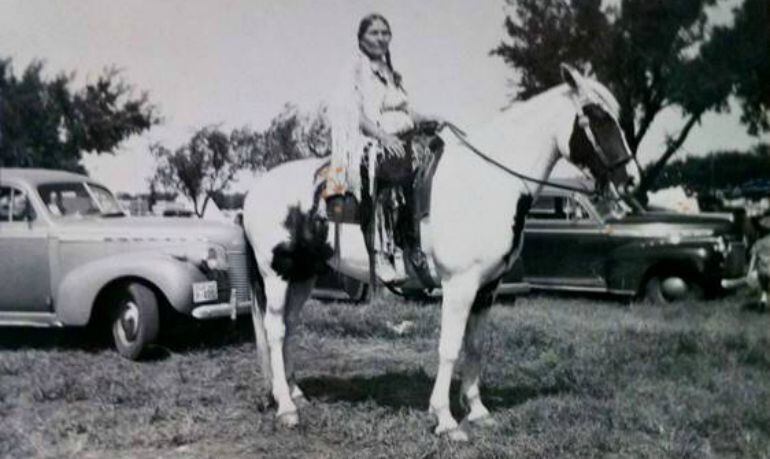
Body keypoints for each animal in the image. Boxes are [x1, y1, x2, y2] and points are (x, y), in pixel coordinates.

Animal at [242, 64, 636, 442]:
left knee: (290, 327)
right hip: (276, 274)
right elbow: (449, 347)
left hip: (303, 275)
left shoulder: (487, 288)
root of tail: (252, 192)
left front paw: (478, 411)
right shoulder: (460, 285)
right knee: (275, 329)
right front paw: (445, 420)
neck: (486, 182)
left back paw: (294, 393)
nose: (630, 177)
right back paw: (285, 408)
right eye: (597, 116)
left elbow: (475, 346)